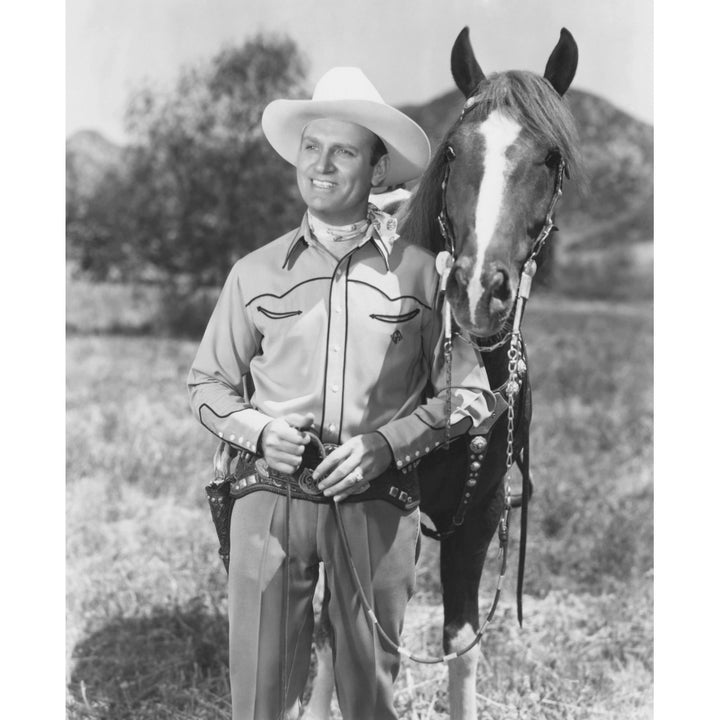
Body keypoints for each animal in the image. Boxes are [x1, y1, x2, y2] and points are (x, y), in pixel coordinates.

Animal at [300, 25, 584, 716]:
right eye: (453, 150)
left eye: (551, 158)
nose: (478, 290)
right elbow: (340, 636)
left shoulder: (477, 520)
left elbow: (460, 643)